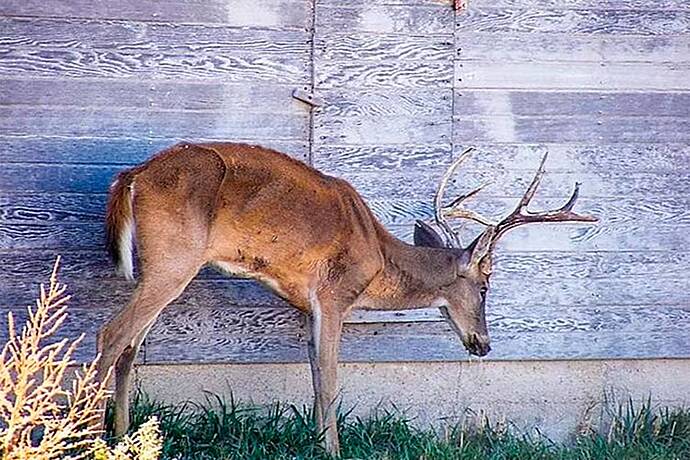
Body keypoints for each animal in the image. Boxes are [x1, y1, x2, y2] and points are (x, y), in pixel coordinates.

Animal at [98, 143, 596, 452]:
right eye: (486, 287)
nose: (484, 344)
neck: (378, 258)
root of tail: (131, 177)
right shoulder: (335, 295)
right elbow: (333, 379)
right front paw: (332, 449)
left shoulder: (306, 307)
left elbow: (316, 375)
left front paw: (317, 442)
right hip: (175, 257)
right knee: (111, 334)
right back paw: (89, 433)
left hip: (161, 265)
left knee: (130, 346)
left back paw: (123, 436)